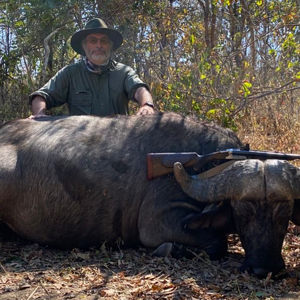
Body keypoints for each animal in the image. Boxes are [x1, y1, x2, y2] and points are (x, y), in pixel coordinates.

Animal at [0, 113, 298, 278]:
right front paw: (171, 249)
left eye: (284, 214)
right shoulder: (158, 223)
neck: (203, 165)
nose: (264, 269)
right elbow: (217, 244)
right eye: (242, 211)